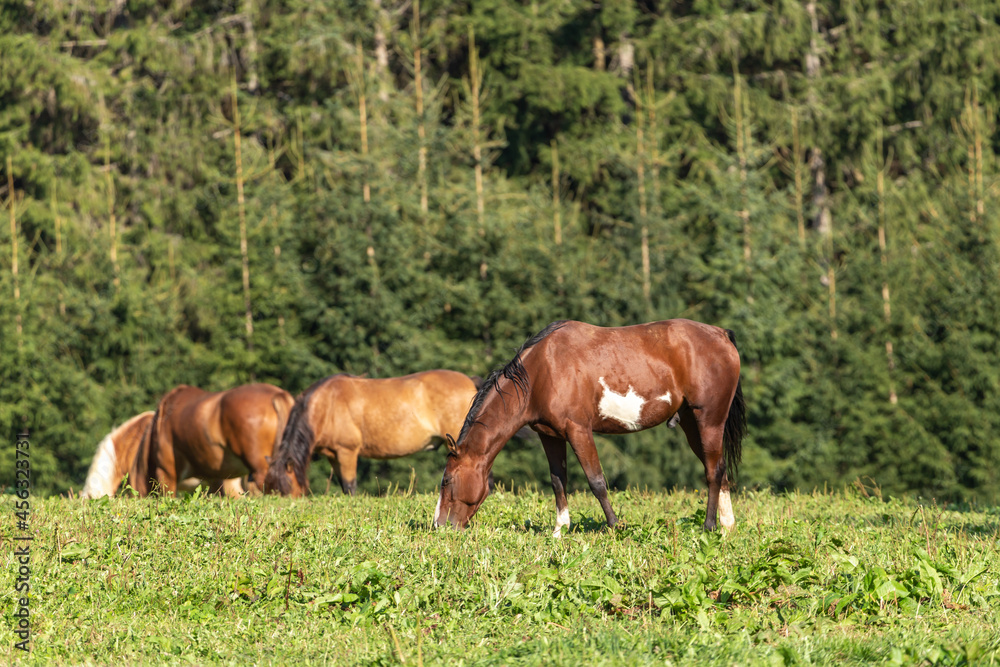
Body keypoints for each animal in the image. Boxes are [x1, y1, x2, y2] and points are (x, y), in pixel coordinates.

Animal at [262, 370, 480, 496]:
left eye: (288, 489)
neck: (327, 405)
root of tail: (469, 381)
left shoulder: (347, 452)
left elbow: (350, 486)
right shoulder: (334, 455)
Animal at [434, 320, 748, 536]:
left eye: (447, 480)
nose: (439, 526)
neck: (542, 371)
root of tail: (721, 334)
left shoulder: (579, 431)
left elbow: (596, 481)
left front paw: (614, 526)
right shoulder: (549, 436)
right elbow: (558, 481)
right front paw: (560, 529)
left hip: (709, 420)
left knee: (713, 471)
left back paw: (709, 526)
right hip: (693, 425)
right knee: (719, 469)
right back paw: (727, 526)